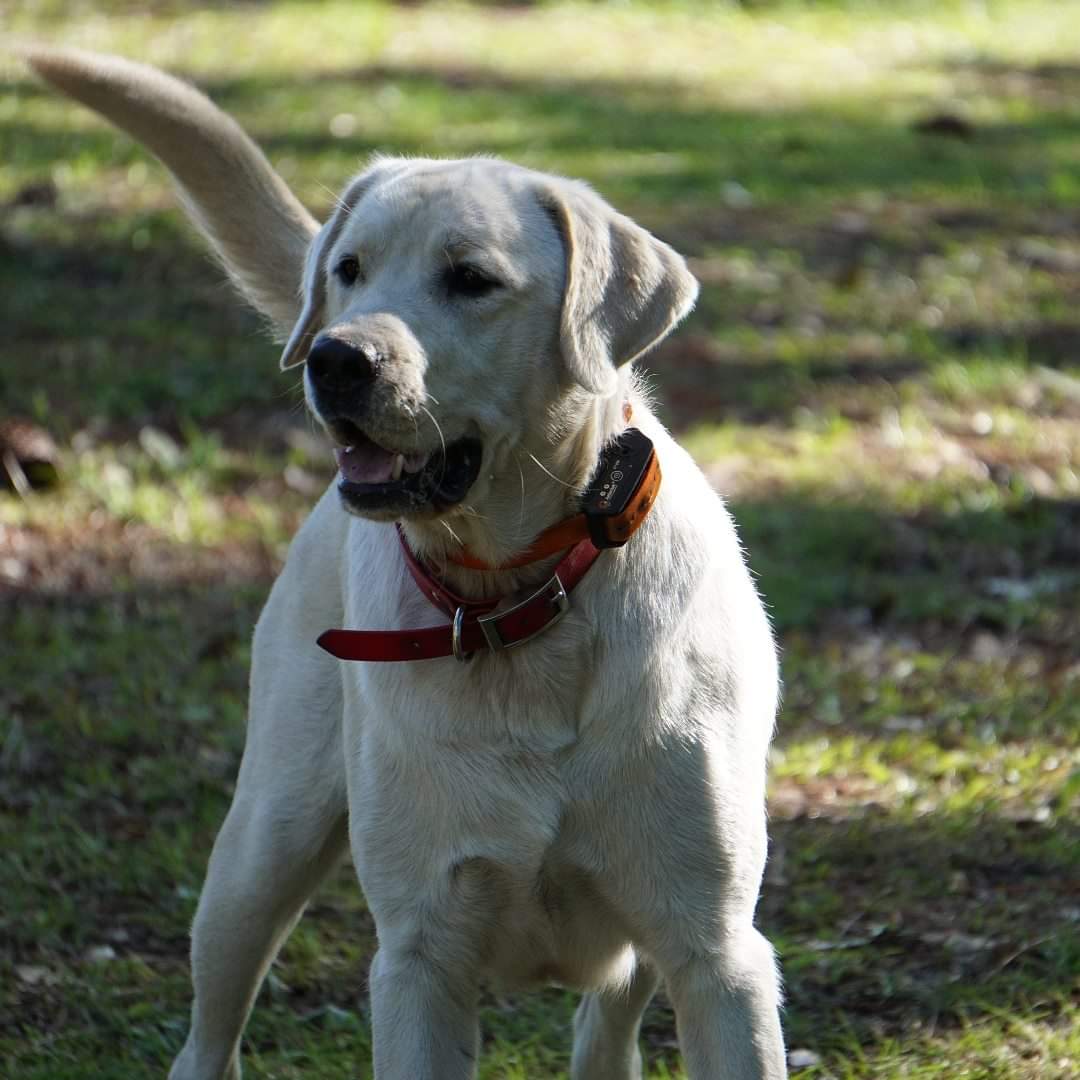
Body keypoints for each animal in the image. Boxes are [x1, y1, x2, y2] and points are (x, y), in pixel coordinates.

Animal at [23, 48, 786, 1080]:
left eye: (471, 278)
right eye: (349, 271)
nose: (337, 359)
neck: (511, 601)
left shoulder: (718, 957)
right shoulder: (421, 955)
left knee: (609, 1020)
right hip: (261, 847)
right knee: (210, 1029)